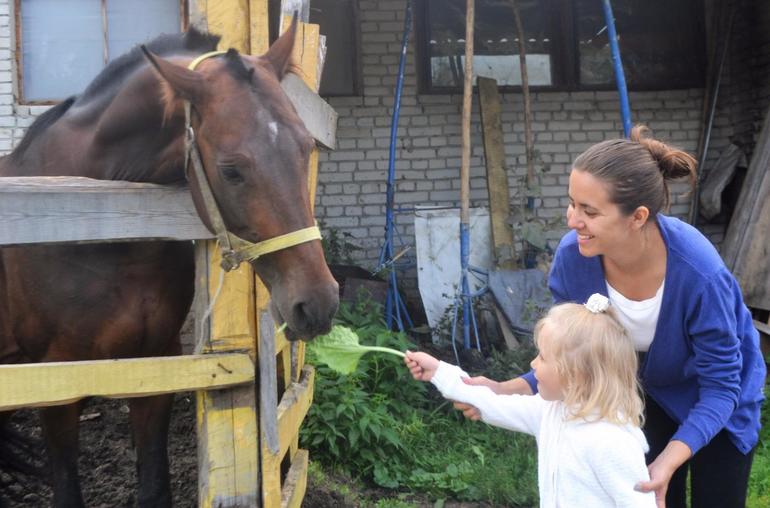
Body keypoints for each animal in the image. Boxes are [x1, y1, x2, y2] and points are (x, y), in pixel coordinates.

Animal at [0, 18, 339, 507]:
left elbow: (155, 488)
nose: (319, 302)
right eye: (232, 169)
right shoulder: (55, 380)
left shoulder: (156, 364)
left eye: (304, 148)